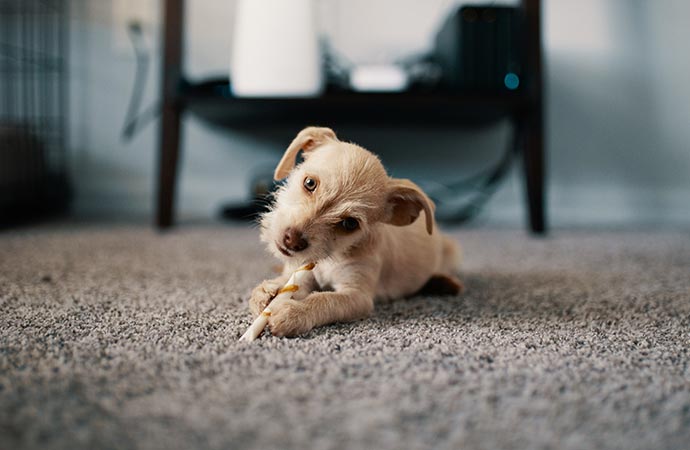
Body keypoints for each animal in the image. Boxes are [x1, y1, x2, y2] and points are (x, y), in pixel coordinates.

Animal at [249, 125, 462, 336]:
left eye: (350, 224)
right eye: (309, 183)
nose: (292, 241)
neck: (330, 258)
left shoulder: (357, 296)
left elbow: (325, 300)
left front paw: (293, 312)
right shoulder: (303, 273)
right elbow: (289, 283)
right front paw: (268, 291)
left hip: (451, 251)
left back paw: (443, 283)